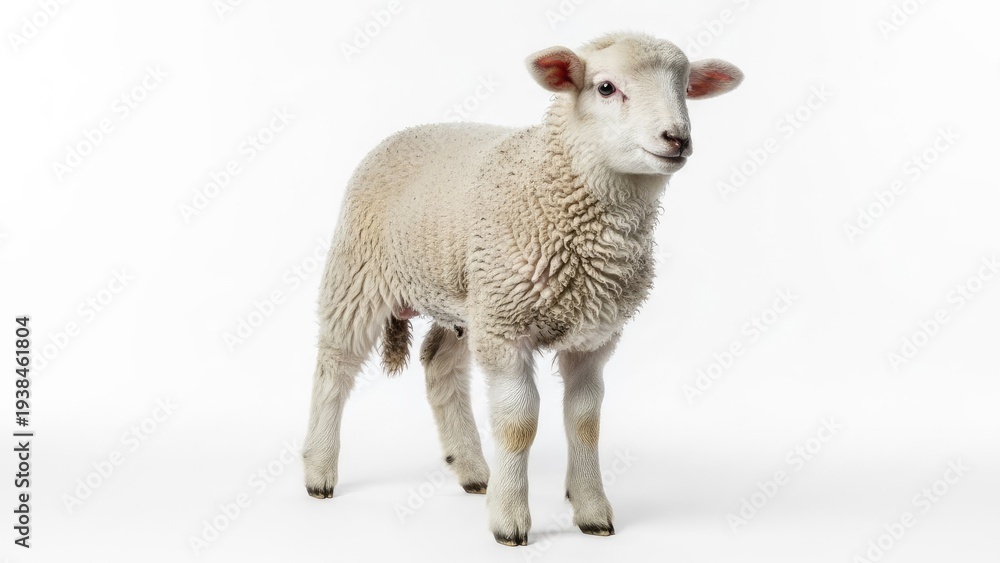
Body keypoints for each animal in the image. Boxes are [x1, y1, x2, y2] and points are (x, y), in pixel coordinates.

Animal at [302, 31, 743, 546]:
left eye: (686, 87)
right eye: (606, 87)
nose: (677, 138)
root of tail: (408, 130)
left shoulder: (592, 338)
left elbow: (585, 422)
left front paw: (591, 511)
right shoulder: (507, 331)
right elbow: (518, 424)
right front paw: (510, 520)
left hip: (469, 300)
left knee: (439, 366)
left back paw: (473, 471)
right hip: (359, 274)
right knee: (334, 367)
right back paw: (319, 471)